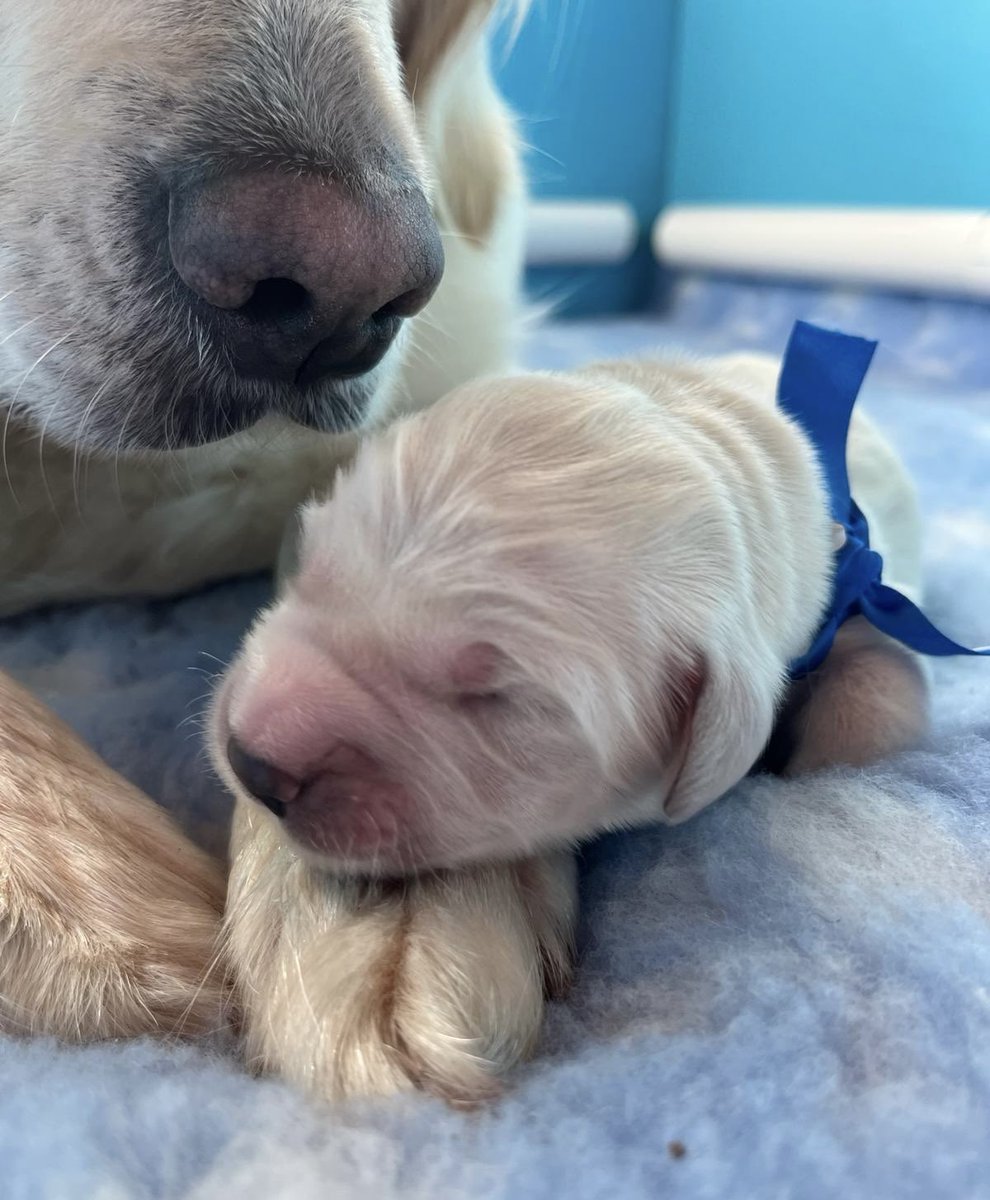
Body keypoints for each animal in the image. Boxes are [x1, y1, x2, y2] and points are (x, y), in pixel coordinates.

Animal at [212, 348, 931, 1099]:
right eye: (311, 562)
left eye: (496, 697)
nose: (252, 762)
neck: (718, 426)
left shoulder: (861, 599)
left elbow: (880, 692)